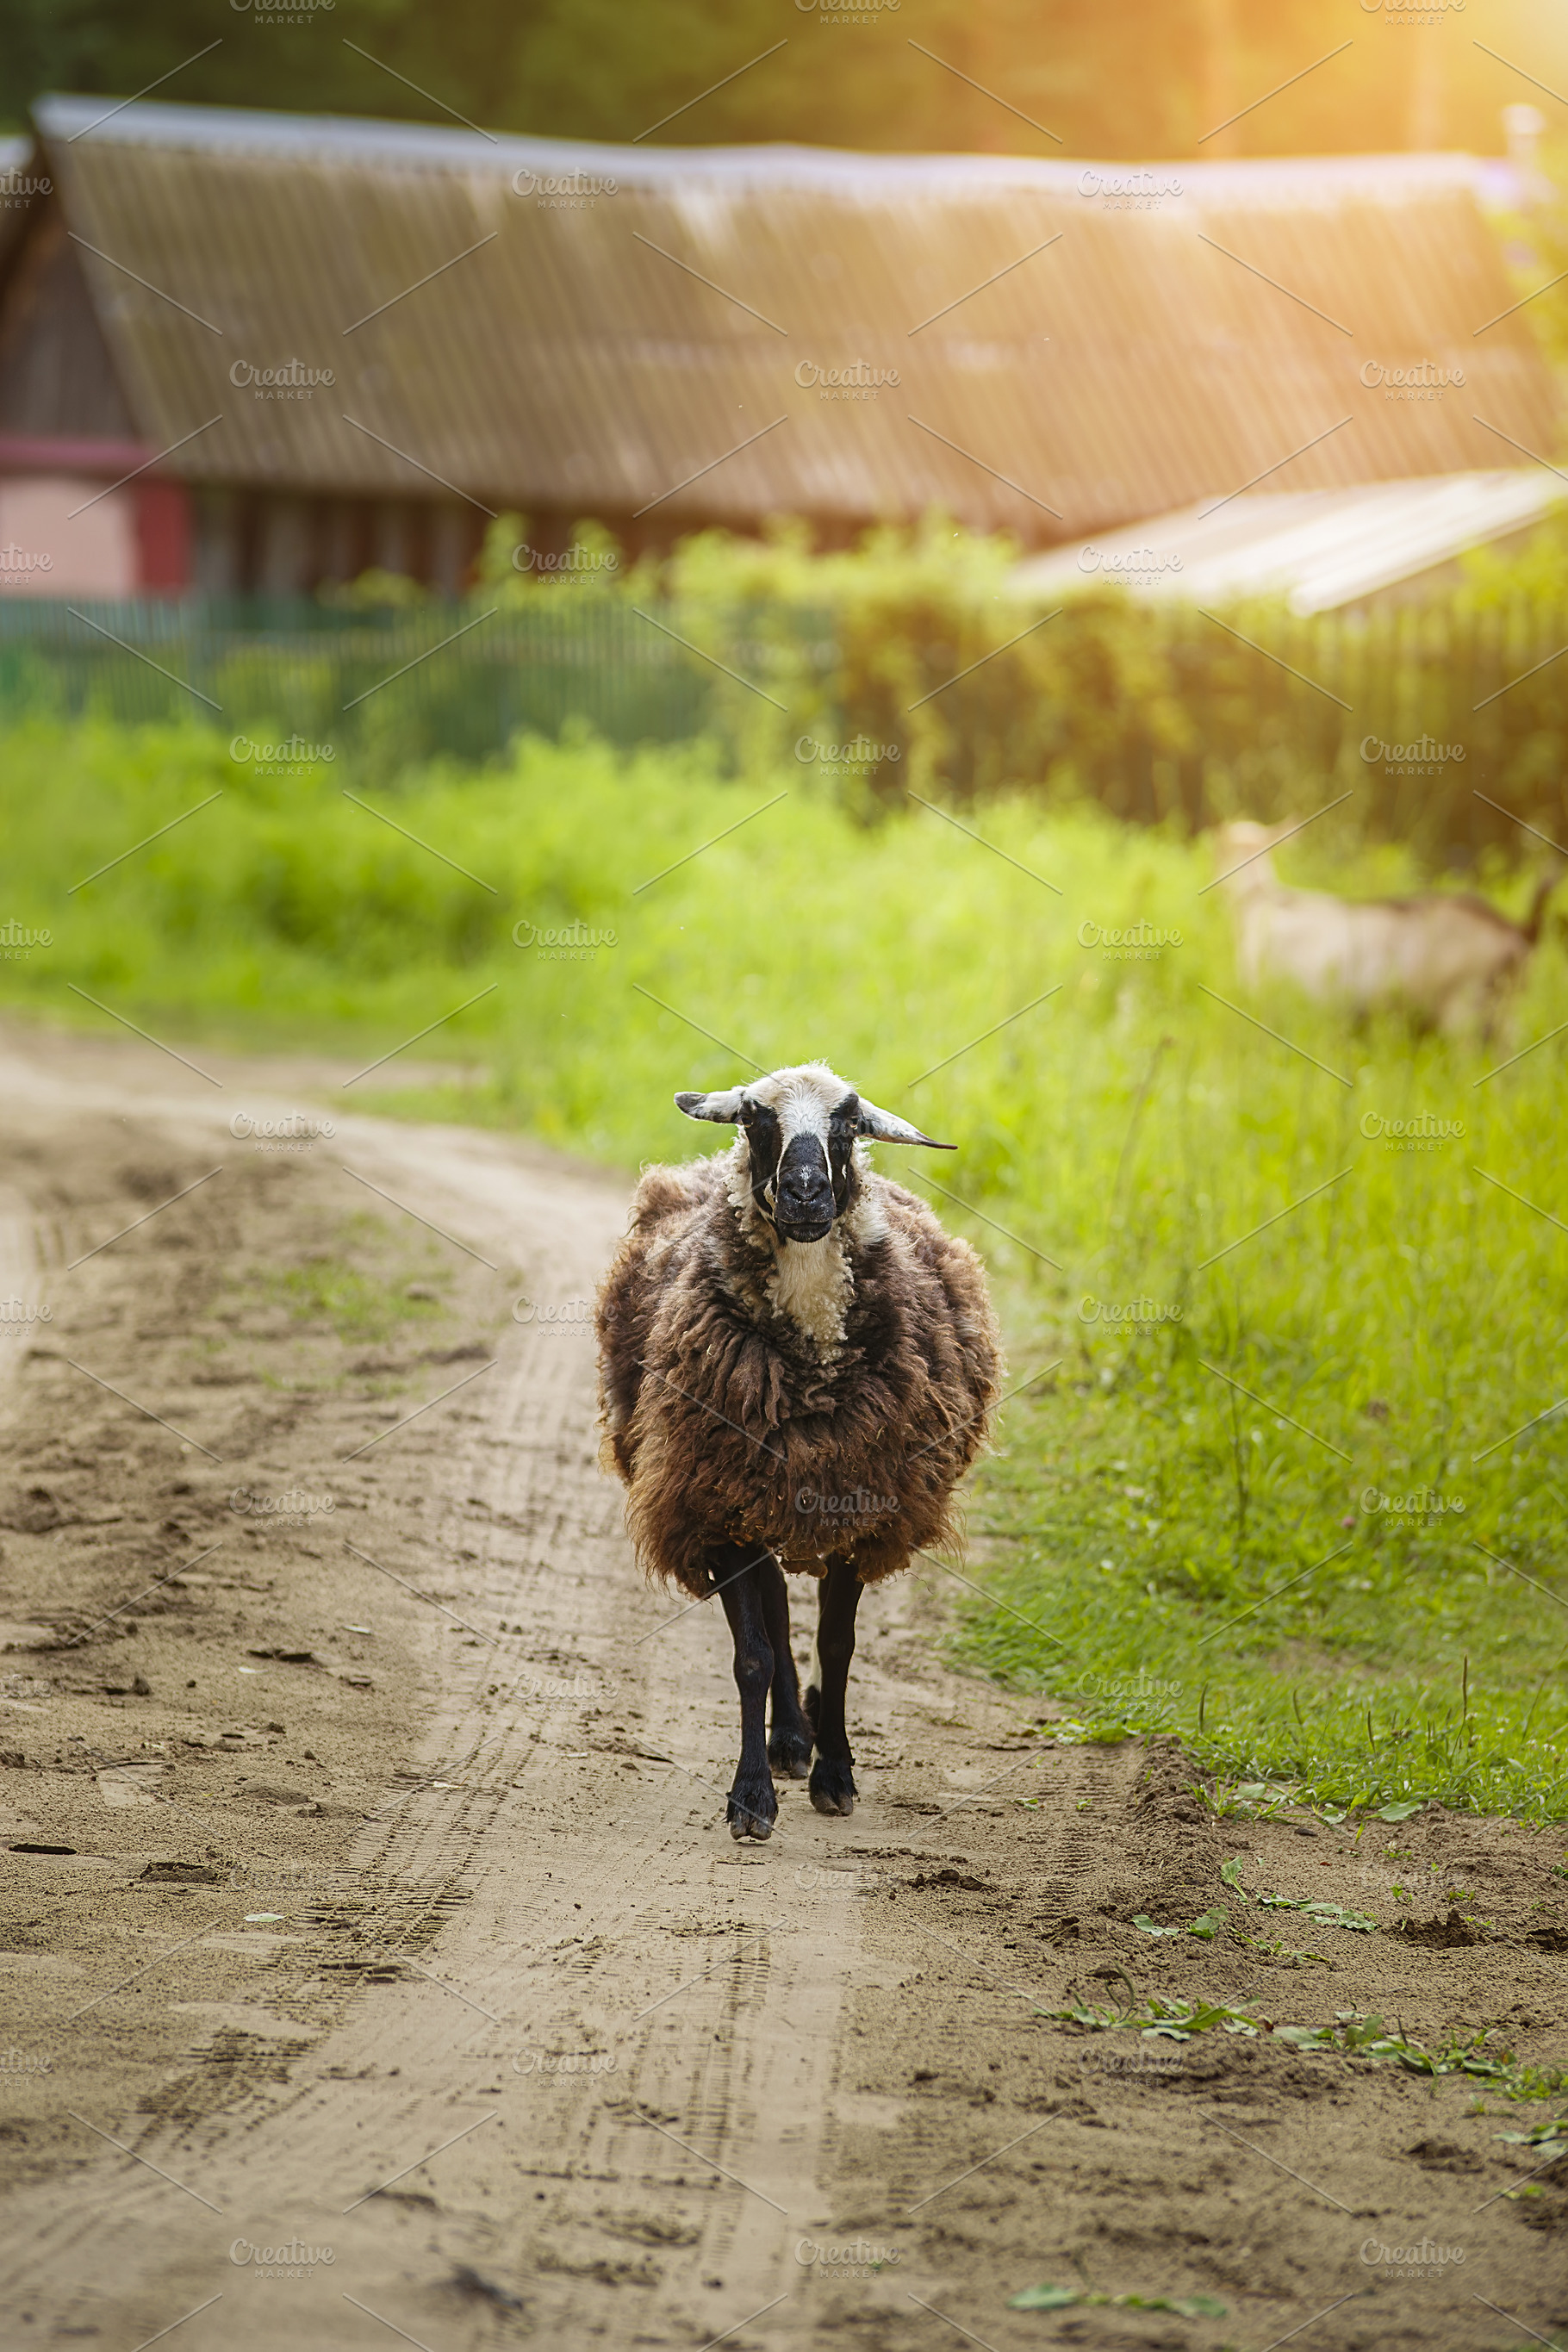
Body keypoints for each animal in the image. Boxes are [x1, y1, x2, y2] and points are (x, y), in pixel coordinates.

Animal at [596, 1061, 1001, 1840]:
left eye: (845, 1126)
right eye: (757, 1120)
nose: (806, 1193)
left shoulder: (859, 1505)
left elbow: (837, 1648)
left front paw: (835, 1773)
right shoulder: (717, 1501)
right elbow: (753, 1654)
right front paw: (752, 1794)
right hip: (756, 1499)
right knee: (776, 1609)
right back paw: (786, 1737)